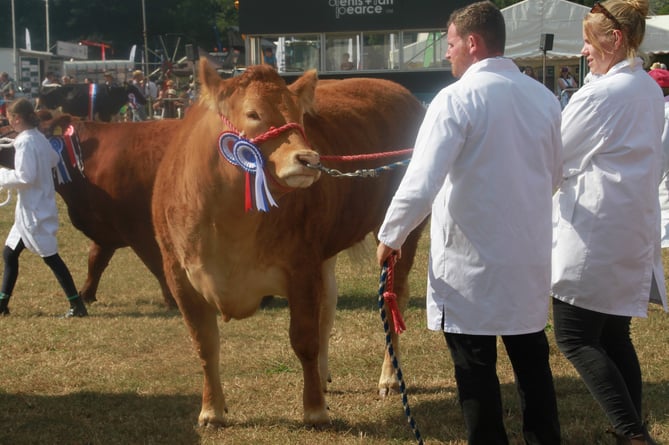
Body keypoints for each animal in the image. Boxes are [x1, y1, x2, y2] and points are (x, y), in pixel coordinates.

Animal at [152, 60, 426, 424]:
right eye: (253, 113)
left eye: (300, 115)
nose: (308, 158)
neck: (226, 225)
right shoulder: (178, 274)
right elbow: (205, 344)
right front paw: (211, 410)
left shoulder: (301, 266)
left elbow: (304, 339)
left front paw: (314, 410)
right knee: (330, 301)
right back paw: (324, 377)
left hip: (403, 230)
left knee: (392, 297)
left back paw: (389, 377)